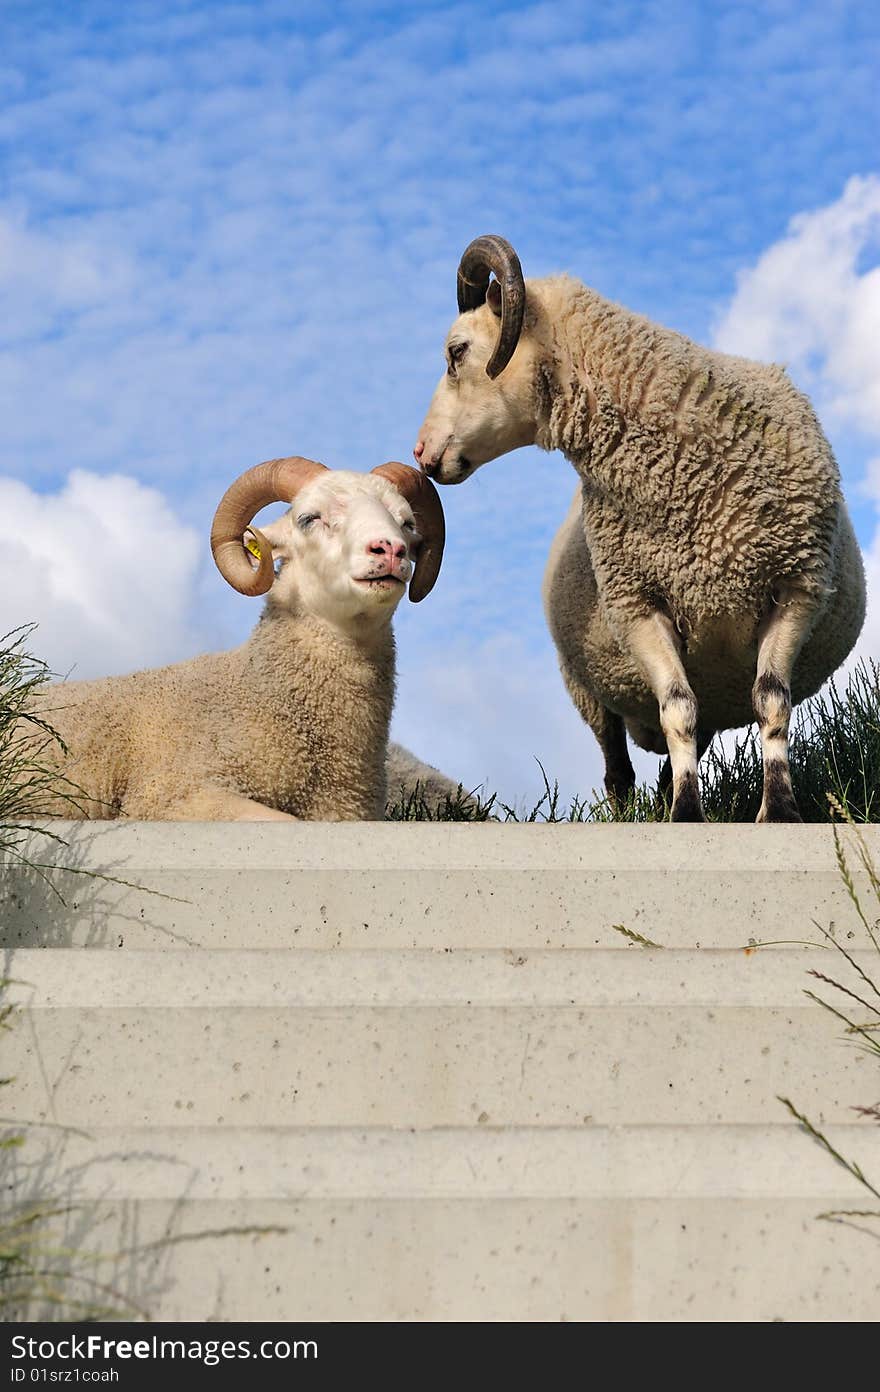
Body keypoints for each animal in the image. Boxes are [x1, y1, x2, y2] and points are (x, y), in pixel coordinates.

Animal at [414, 233, 868, 818]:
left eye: (456, 352)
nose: (420, 453)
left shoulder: (798, 587)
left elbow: (772, 701)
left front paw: (780, 811)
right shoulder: (636, 605)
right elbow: (677, 708)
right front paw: (688, 815)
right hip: (587, 685)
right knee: (618, 765)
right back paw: (629, 809)